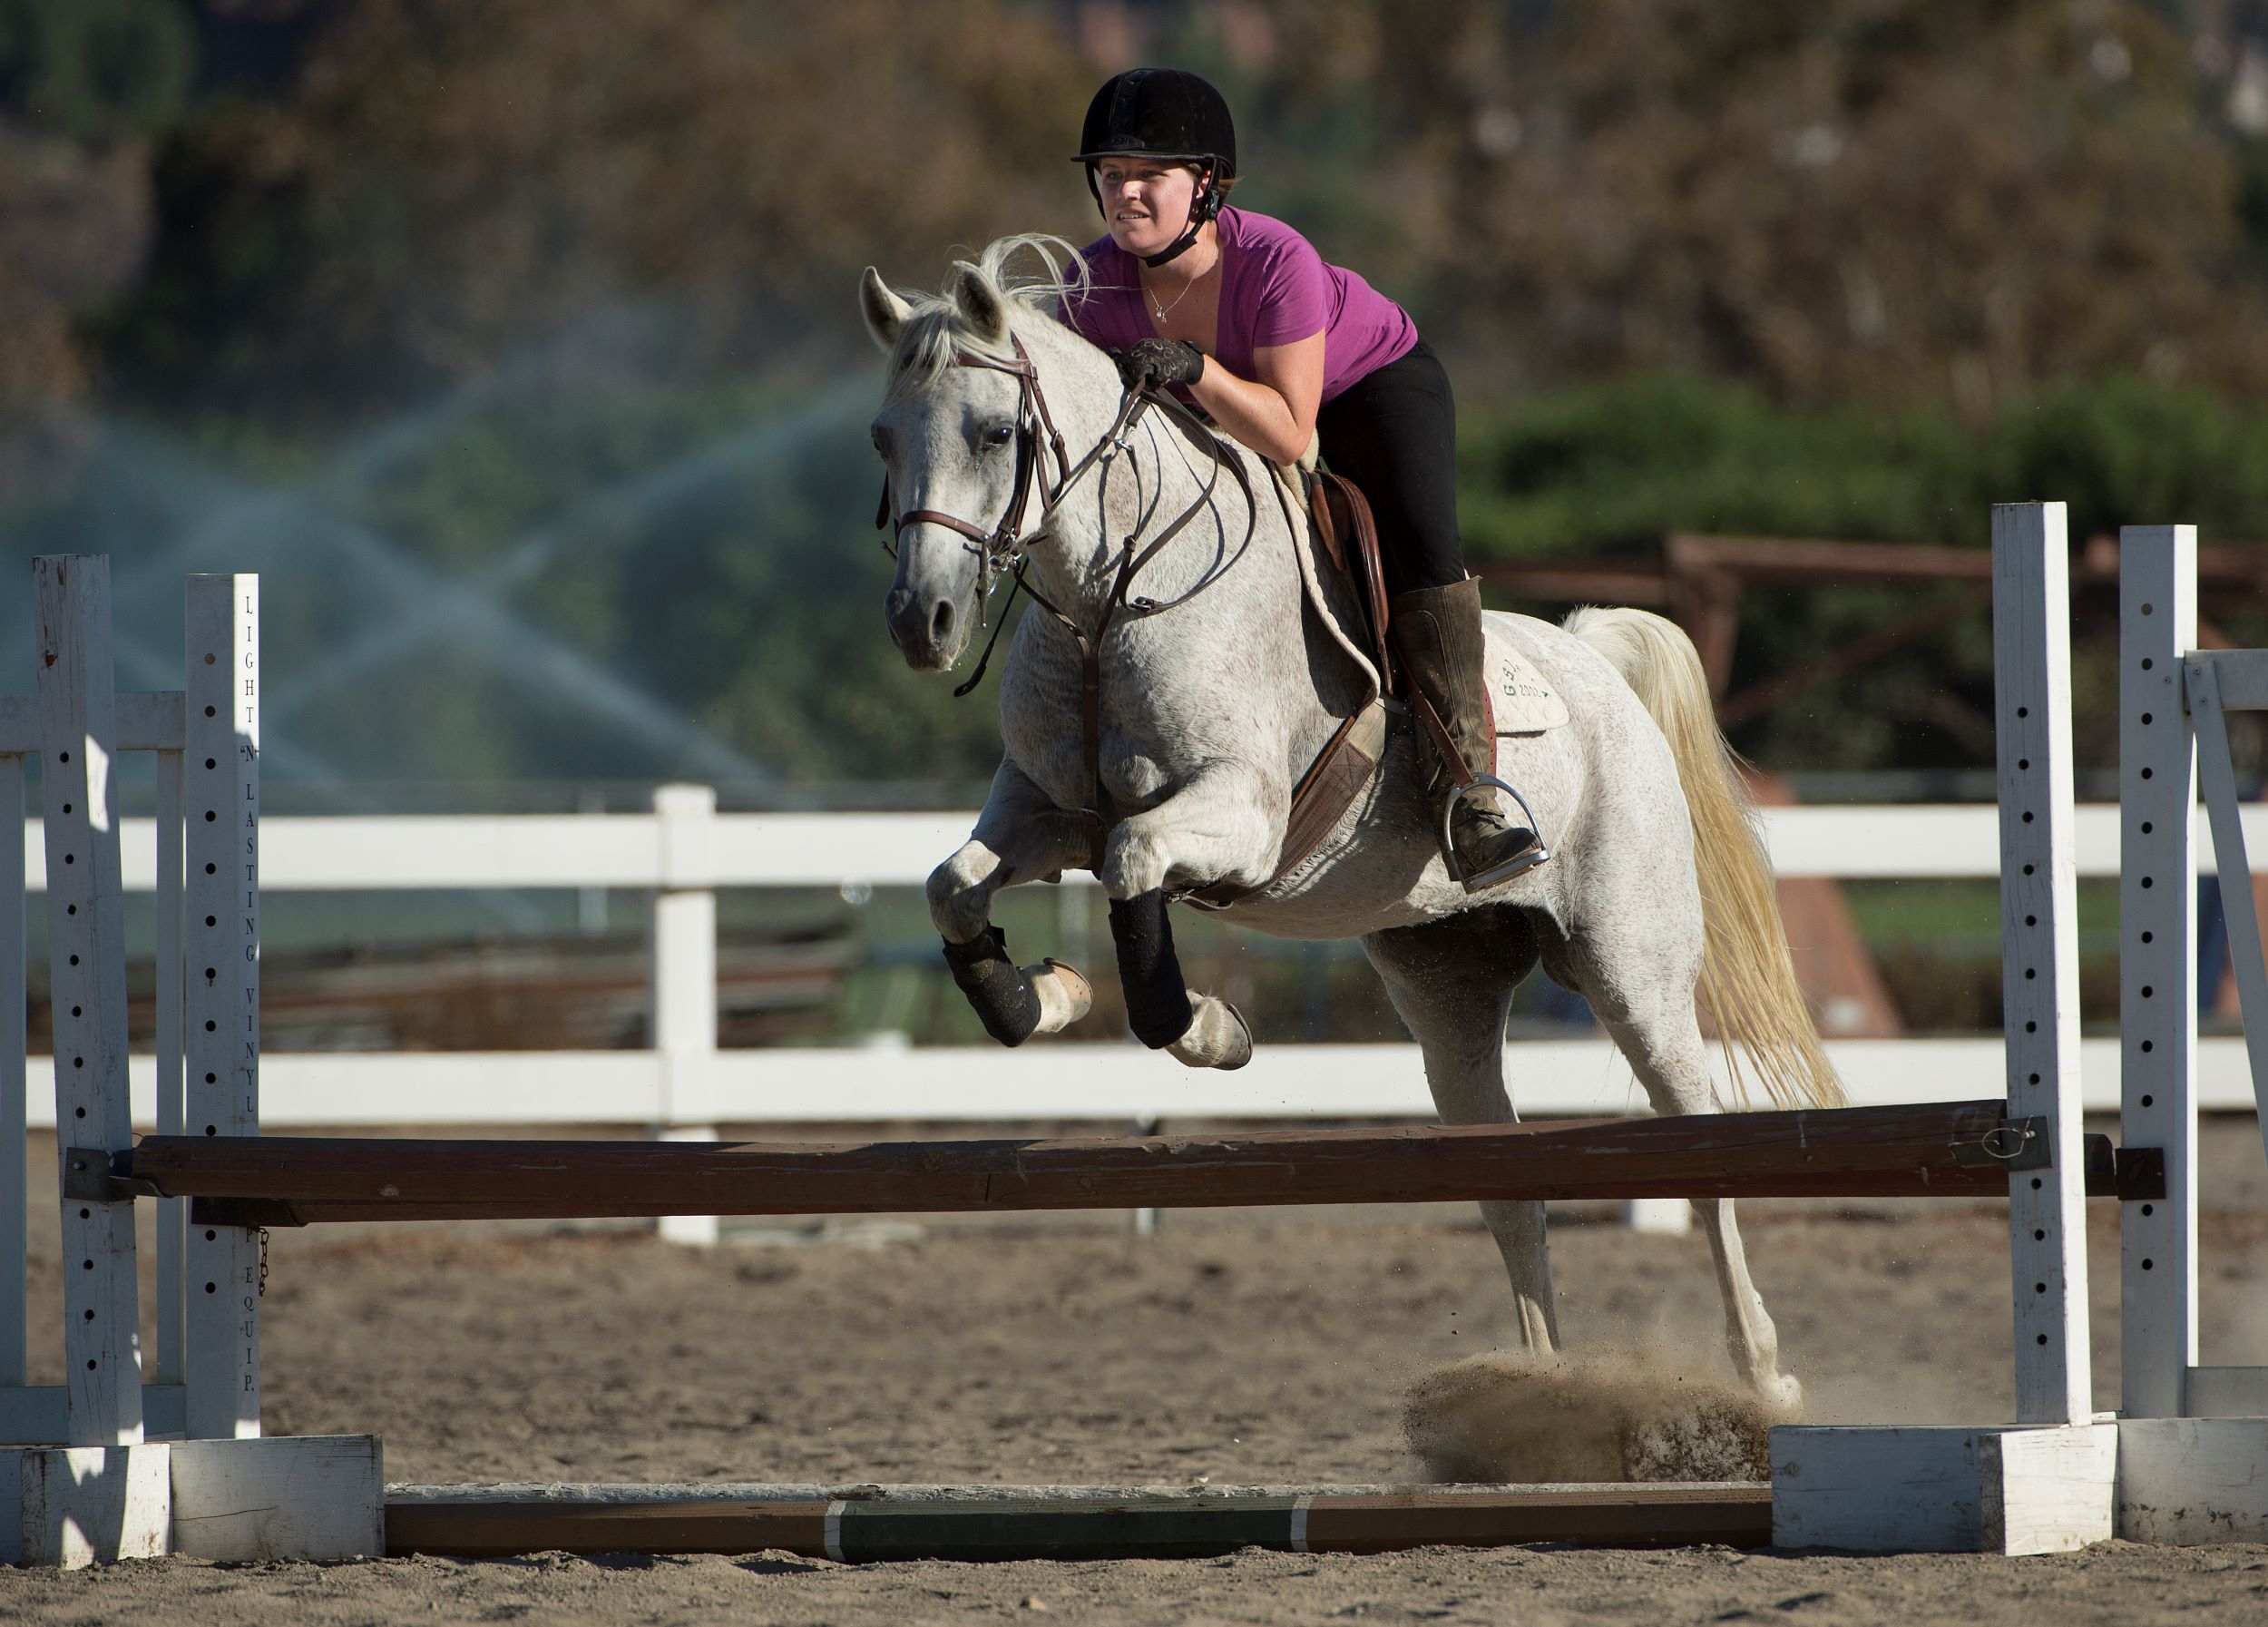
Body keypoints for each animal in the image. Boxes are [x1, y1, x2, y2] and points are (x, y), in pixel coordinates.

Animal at [862, 234, 1842, 1406]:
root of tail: (1592, 659)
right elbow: (953, 884)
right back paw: (1538, 1382)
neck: (1110, 597)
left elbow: (1136, 867)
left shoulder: (1236, 816)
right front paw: (1037, 998)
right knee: (1509, 1183)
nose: (922, 623)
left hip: (1631, 966)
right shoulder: (1047, 812)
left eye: (996, 431)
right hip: (1447, 986)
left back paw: (1760, 1375)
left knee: (1697, 1153)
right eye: (882, 436)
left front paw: (1210, 1029)